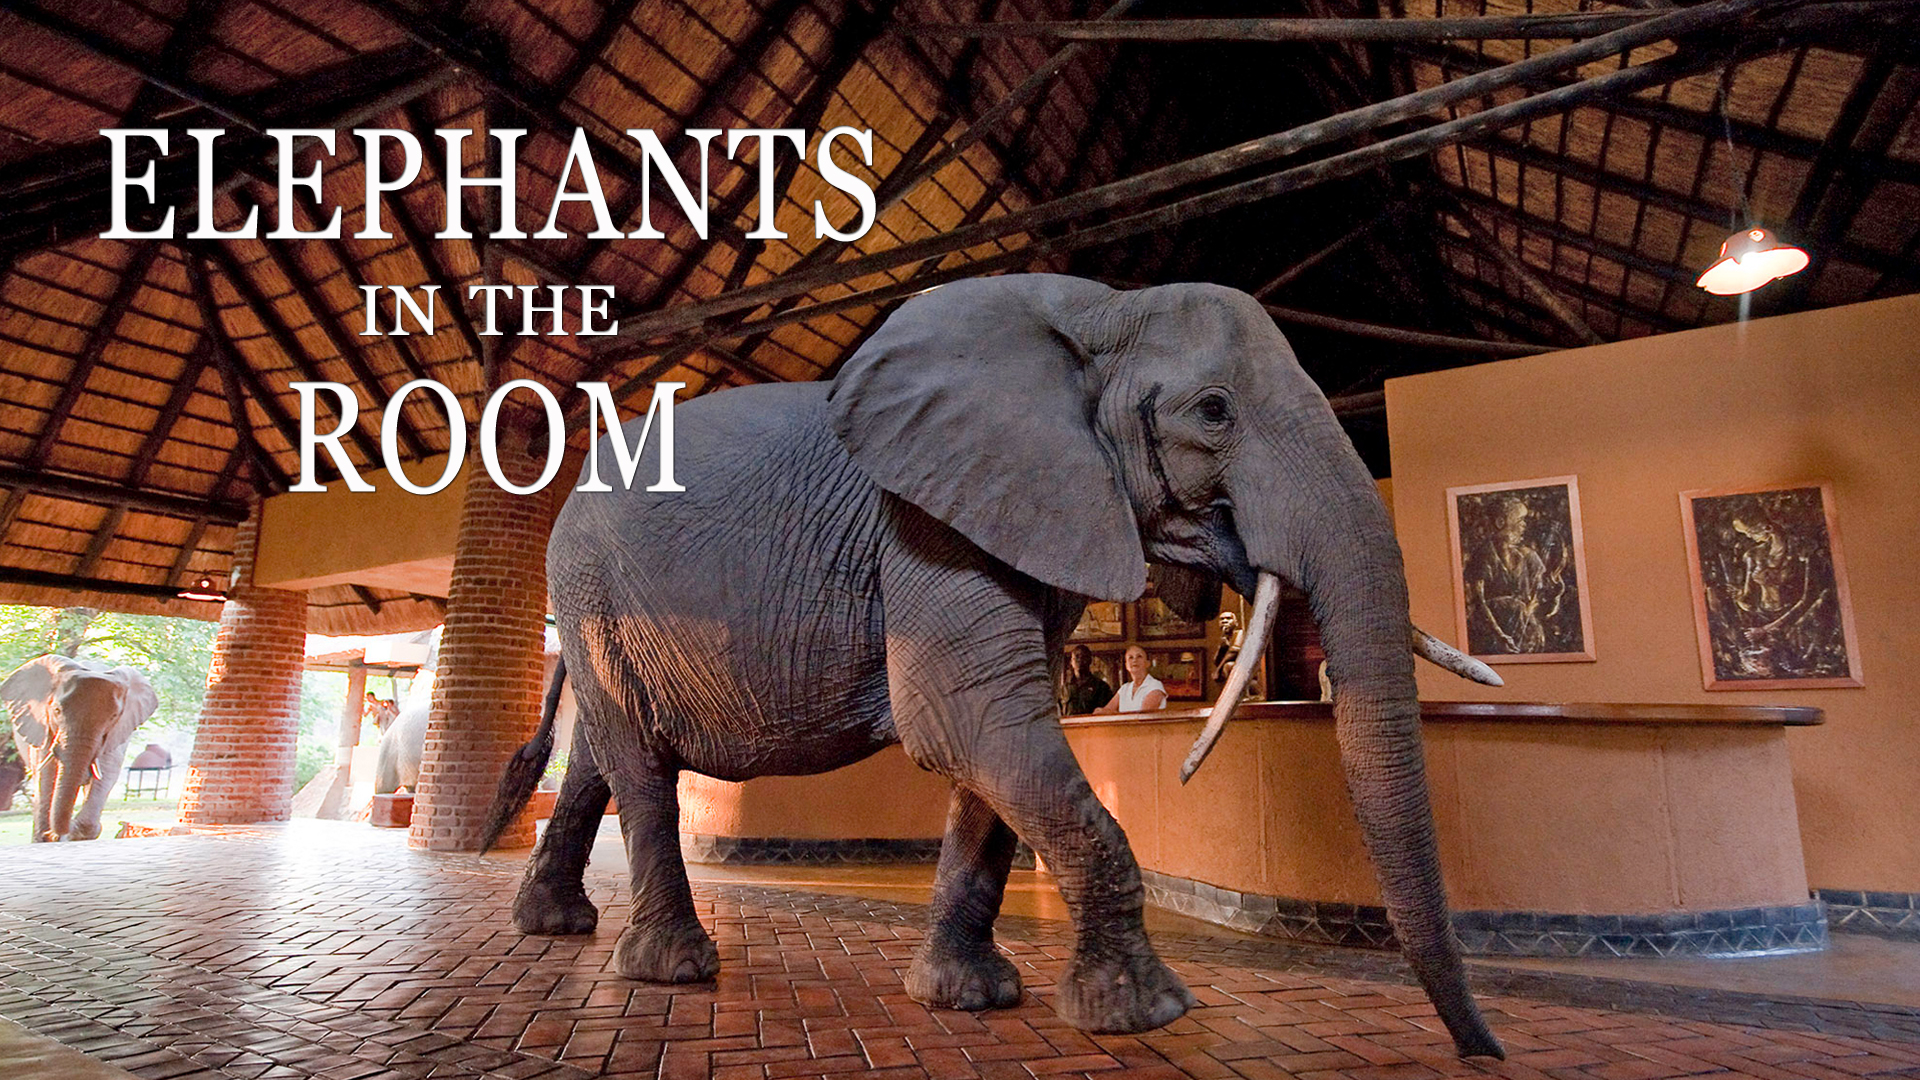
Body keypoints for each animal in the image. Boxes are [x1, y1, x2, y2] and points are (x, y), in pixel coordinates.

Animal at [0, 655, 158, 841]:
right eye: (57, 710)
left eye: (114, 716)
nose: (56, 833)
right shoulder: (43, 726)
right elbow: (46, 775)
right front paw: (48, 836)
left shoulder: (118, 732)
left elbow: (107, 773)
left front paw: (73, 833)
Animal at [482, 275, 1506, 1056]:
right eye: (1214, 412)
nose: (1481, 1053)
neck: (1100, 314)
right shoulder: (928, 526)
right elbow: (962, 721)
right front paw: (1146, 1015)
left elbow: (992, 746)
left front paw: (968, 998)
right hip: (591, 587)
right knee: (641, 770)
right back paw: (674, 970)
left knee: (603, 758)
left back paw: (553, 927)